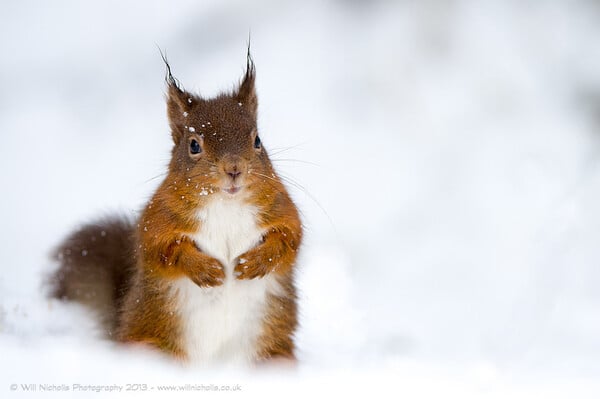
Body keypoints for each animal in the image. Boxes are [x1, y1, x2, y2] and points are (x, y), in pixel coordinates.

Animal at [51, 51, 302, 368]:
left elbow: (289, 238)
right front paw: (207, 270)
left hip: (274, 358)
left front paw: (254, 263)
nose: (234, 169)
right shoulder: (157, 218)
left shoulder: (281, 208)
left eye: (257, 140)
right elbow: (163, 249)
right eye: (194, 145)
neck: (226, 204)